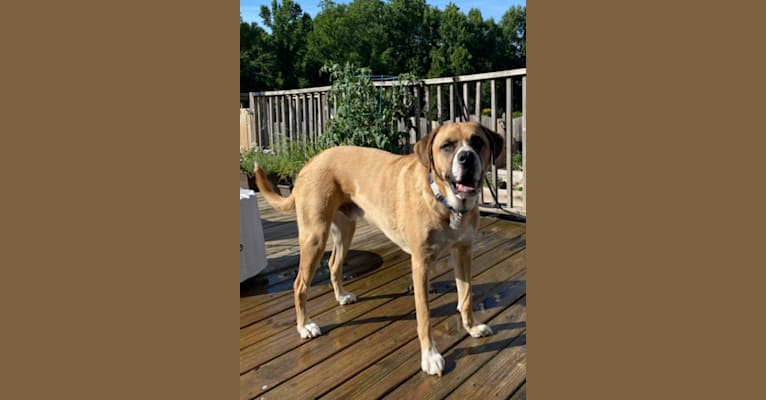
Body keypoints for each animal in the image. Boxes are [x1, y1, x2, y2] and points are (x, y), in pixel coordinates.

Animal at [255, 121, 508, 376]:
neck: (446, 201)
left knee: (333, 264)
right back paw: (304, 326)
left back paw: (341, 296)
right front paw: (430, 356)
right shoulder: (421, 263)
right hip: (315, 236)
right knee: (299, 284)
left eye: (477, 142)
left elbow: (466, 296)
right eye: (447, 146)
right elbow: (424, 315)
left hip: (345, 230)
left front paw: (472, 327)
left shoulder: (463, 251)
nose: (467, 157)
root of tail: (310, 162)